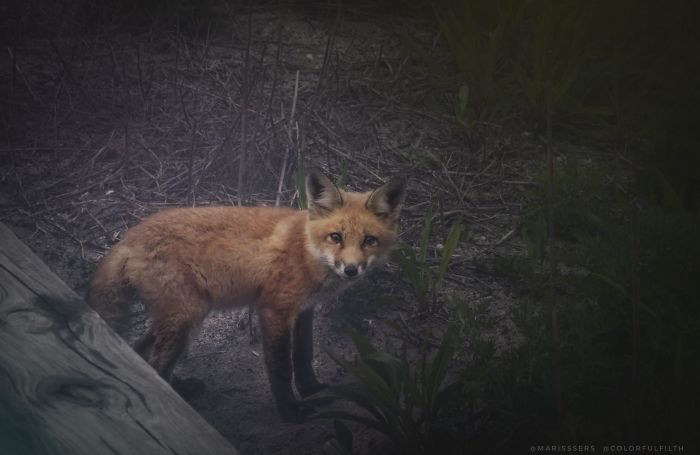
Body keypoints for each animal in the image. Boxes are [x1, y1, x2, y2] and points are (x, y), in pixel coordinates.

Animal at [88, 169, 406, 422]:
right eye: (336, 237)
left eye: (369, 240)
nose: (351, 270)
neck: (307, 252)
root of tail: (126, 239)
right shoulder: (274, 309)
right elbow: (281, 368)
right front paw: (290, 412)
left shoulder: (304, 310)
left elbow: (303, 356)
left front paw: (312, 390)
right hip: (188, 316)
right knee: (156, 363)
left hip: (181, 318)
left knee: (141, 350)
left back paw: (181, 388)